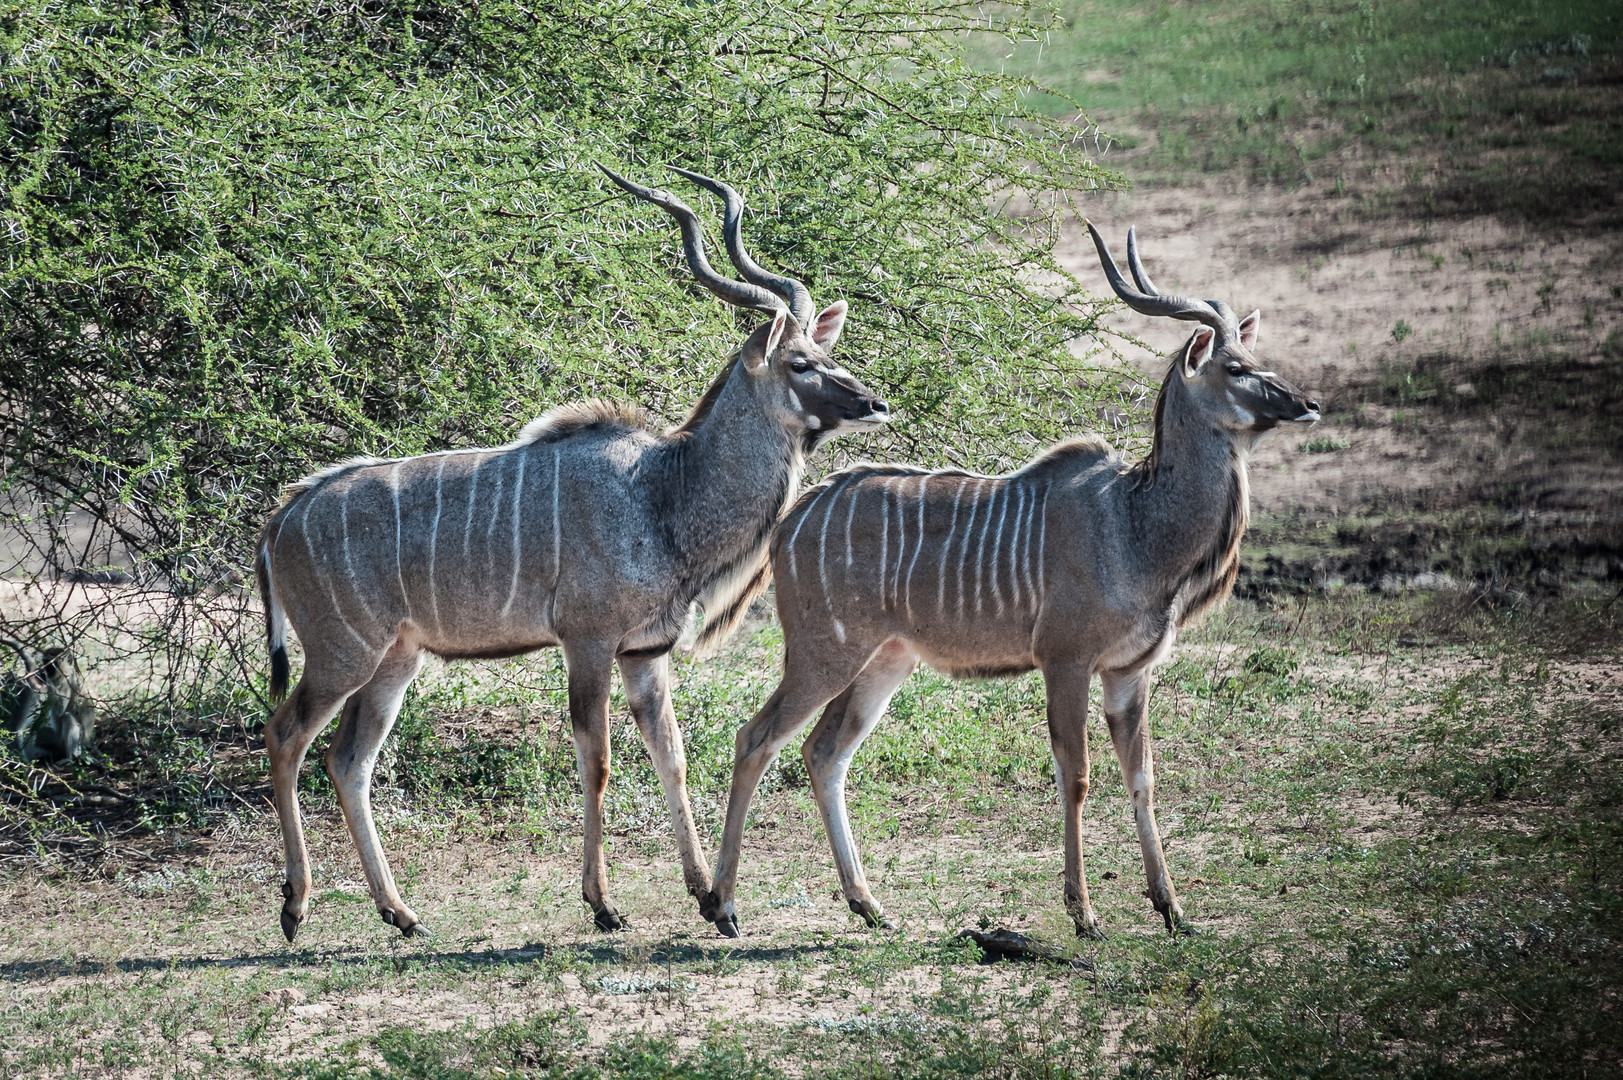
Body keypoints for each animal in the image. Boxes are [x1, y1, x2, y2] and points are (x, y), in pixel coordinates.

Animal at [256, 164, 889, 941]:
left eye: (827, 354)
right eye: (800, 363)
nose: (872, 403)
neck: (663, 492)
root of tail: (286, 513)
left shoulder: (645, 652)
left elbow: (672, 757)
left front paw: (710, 898)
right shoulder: (587, 642)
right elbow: (599, 760)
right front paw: (604, 903)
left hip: (394, 661)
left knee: (349, 761)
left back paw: (401, 914)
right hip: (341, 653)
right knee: (285, 735)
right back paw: (295, 905)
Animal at [697, 225, 1317, 935]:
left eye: (1254, 356)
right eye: (1234, 368)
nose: (1307, 404)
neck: (1133, 522)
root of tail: (793, 517)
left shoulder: (1130, 671)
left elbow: (1143, 777)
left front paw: (1173, 909)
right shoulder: (1066, 661)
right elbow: (1076, 776)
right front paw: (1083, 913)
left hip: (885, 661)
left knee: (825, 753)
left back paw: (869, 905)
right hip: (822, 655)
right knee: (757, 739)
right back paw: (724, 905)